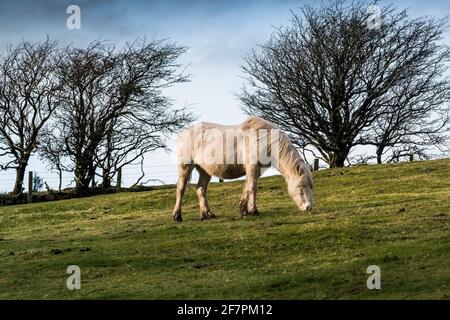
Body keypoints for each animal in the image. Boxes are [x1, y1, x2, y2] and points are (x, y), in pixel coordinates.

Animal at [171, 115, 312, 222]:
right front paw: (253, 211)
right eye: (302, 186)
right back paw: (177, 216)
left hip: (205, 171)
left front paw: (243, 210)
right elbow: (252, 188)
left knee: (201, 189)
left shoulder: (256, 170)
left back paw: (207, 214)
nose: (308, 207)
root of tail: (184, 133)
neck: (264, 139)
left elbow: (247, 187)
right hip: (186, 167)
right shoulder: (252, 167)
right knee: (181, 189)